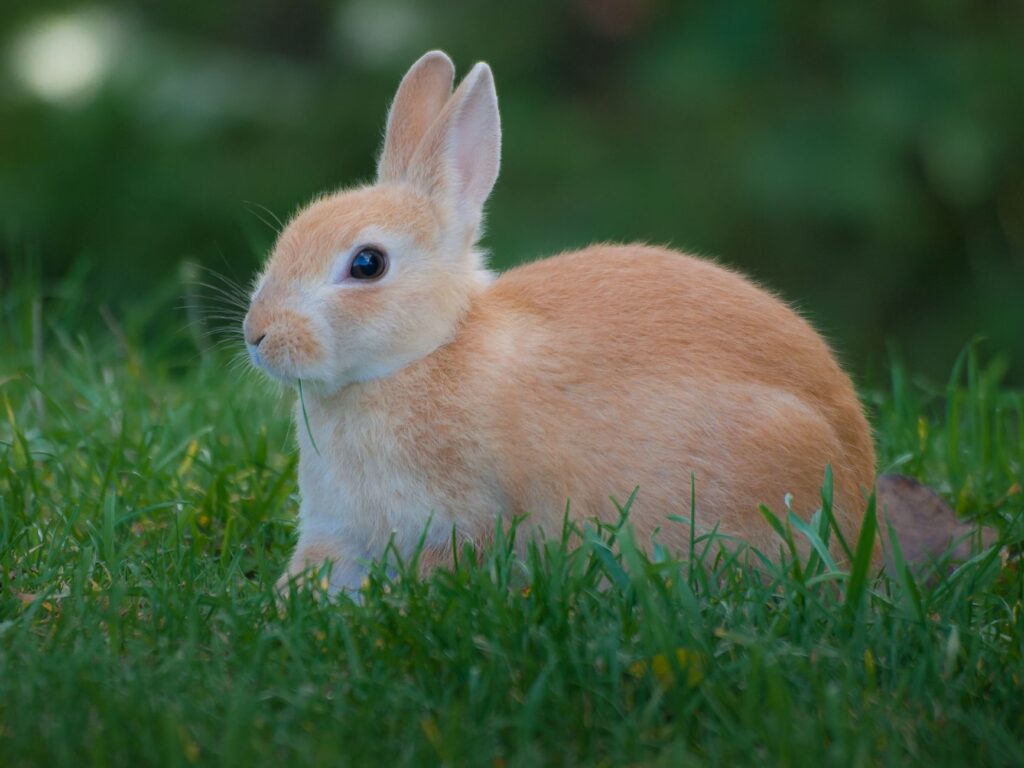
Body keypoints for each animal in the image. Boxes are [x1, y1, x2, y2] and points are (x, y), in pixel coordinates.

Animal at [242, 50, 876, 594]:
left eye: (367, 264)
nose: (257, 335)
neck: (426, 353)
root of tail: (859, 479)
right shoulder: (338, 531)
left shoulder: (459, 522)